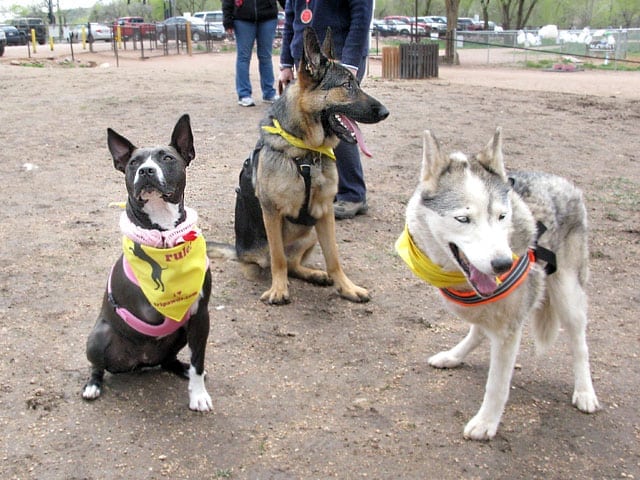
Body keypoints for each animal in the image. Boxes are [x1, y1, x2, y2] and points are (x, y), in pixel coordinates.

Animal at [81, 114, 212, 410]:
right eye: (134, 163)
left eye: (167, 158)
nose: (147, 171)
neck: (163, 237)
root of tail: (139, 361)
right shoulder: (151, 307)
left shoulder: (200, 316)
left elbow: (198, 361)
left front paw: (198, 394)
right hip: (98, 336)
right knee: (97, 366)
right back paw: (93, 385)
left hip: (179, 335)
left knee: (168, 361)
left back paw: (180, 369)